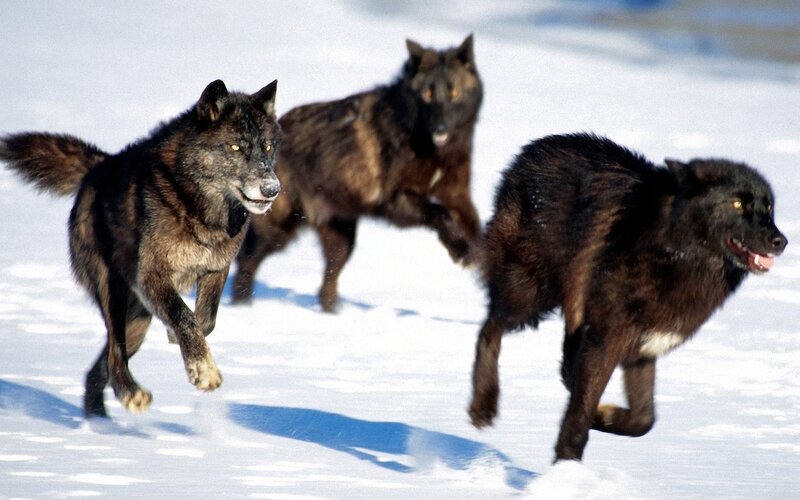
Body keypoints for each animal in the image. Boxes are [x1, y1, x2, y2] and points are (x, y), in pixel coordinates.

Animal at [0, 79, 281, 417]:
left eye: (267, 147)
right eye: (236, 147)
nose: (272, 188)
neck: (200, 208)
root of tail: (99, 165)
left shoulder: (216, 269)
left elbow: (204, 320)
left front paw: (185, 346)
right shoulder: (151, 276)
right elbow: (185, 316)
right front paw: (203, 370)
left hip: (138, 320)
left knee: (98, 368)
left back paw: (98, 421)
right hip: (113, 292)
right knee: (113, 352)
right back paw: (130, 394)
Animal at [231, 35, 483, 311]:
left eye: (454, 93)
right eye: (427, 94)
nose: (440, 128)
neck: (428, 147)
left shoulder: (458, 195)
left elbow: (475, 227)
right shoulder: (396, 202)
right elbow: (440, 213)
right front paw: (461, 252)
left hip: (342, 239)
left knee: (327, 284)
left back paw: (332, 314)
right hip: (278, 230)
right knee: (246, 261)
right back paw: (241, 306)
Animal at [468, 133, 787, 461]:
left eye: (769, 208)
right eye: (737, 203)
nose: (782, 241)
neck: (671, 253)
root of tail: (529, 150)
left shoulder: (643, 349)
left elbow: (643, 420)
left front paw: (604, 415)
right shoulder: (606, 341)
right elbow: (579, 419)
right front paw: (567, 465)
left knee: (563, 363)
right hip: (529, 296)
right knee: (489, 329)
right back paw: (483, 406)